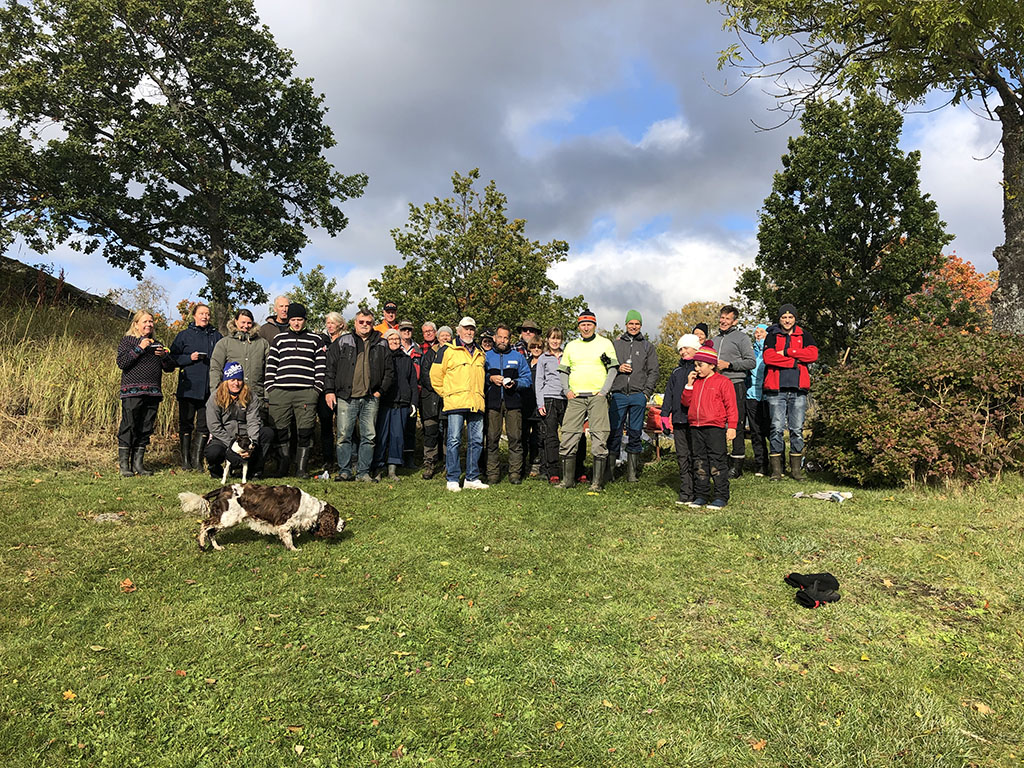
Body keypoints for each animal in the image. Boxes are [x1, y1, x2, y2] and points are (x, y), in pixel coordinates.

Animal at [179, 484, 343, 551]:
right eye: (336, 518)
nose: (345, 524)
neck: (312, 508)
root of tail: (223, 489)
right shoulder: (283, 524)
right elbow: (289, 539)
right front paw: (294, 549)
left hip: (225, 519)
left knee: (211, 532)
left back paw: (217, 547)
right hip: (228, 518)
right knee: (205, 524)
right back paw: (201, 544)